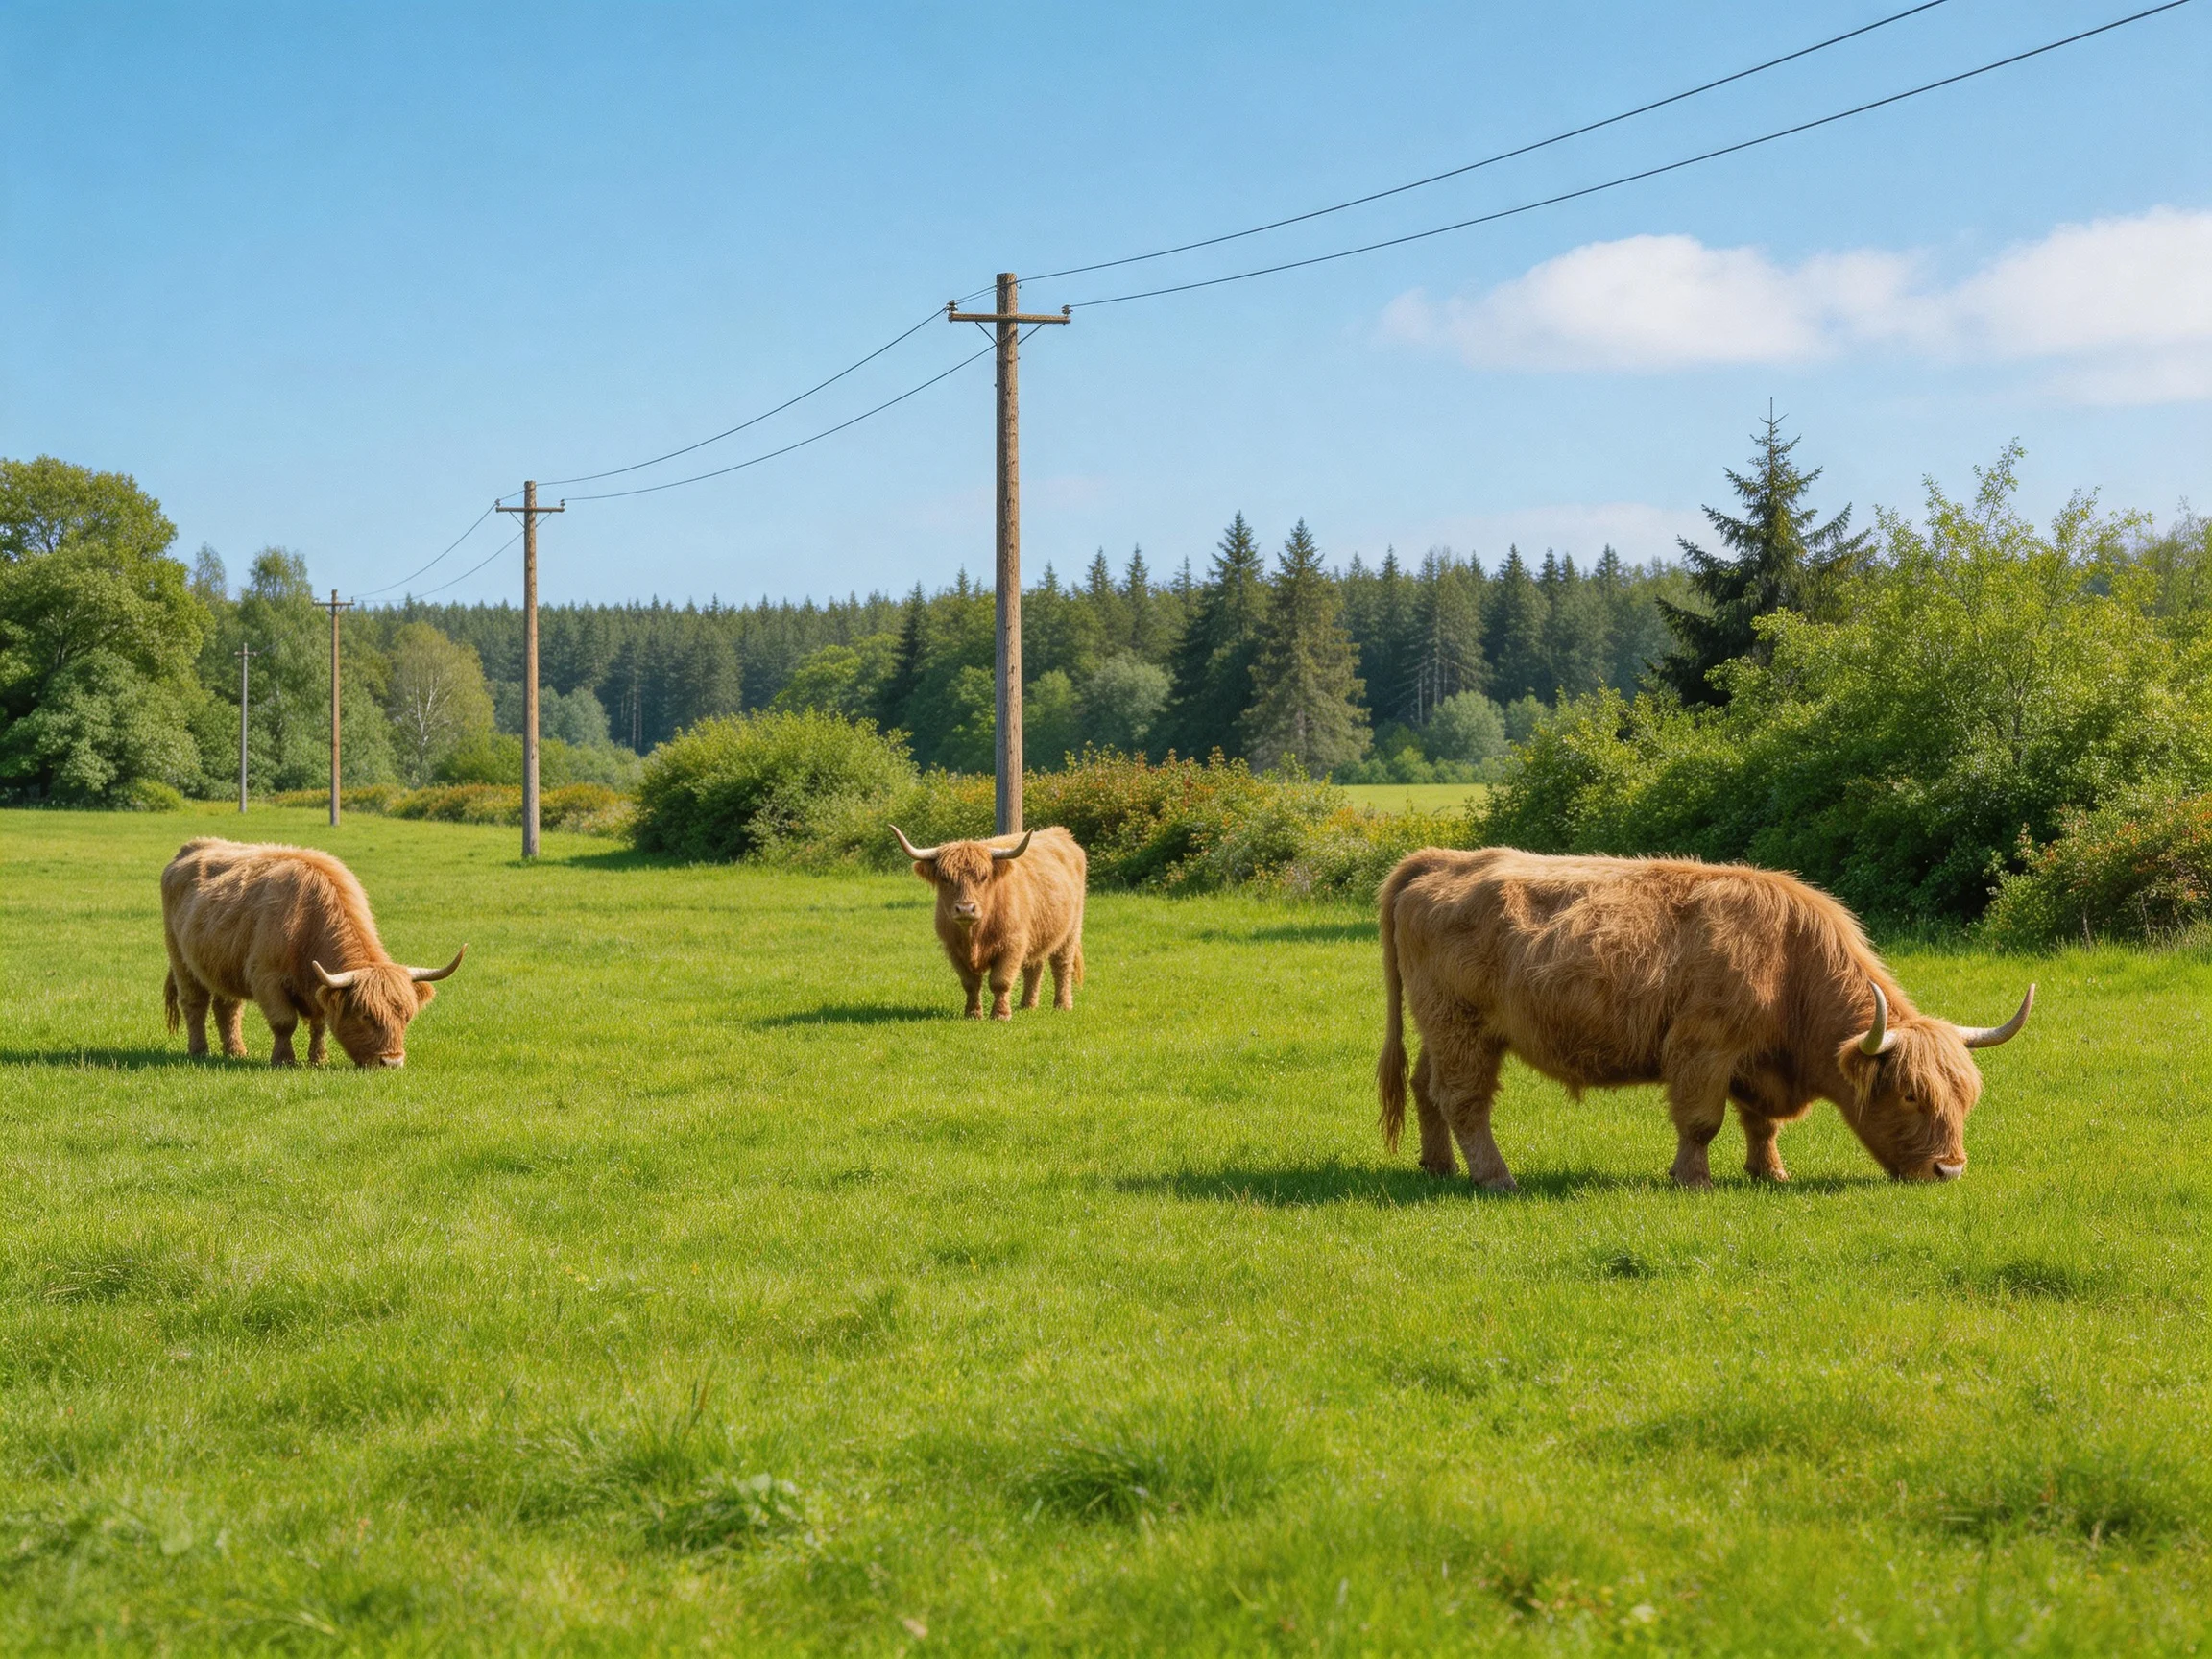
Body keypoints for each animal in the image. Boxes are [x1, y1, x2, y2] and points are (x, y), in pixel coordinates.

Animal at [161, 838, 464, 1068]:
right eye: (365, 1015)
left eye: (407, 1016)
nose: (391, 1062)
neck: (307, 921)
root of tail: (194, 845)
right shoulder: (266, 977)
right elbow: (284, 1022)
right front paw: (284, 1060)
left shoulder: (318, 984)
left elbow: (320, 1025)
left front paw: (318, 1059)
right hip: (180, 959)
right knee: (194, 1004)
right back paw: (199, 1051)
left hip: (223, 966)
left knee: (228, 1008)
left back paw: (235, 1052)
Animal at [891, 825, 1086, 1020]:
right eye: (945, 878)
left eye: (983, 877)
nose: (965, 909)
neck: (974, 935)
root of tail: (1060, 832)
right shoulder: (953, 948)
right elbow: (970, 983)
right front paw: (973, 1014)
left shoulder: (1012, 944)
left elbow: (1000, 981)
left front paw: (1001, 1014)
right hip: (1038, 935)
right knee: (1034, 967)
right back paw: (1027, 1005)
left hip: (1071, 931)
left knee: (1061, 966)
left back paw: (1062, 1005)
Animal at [1375, 847, 2033, 1190]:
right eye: (1910, 1095)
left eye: (1965, 1097)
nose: (1950, 1169)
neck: (1790, 963)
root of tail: (1444, 860)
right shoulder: (1704, 1048)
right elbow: (1701, 1122)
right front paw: (1693, 1180)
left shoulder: (1754, 1063)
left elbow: (1761, 1124)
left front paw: (1771, 1173)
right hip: (1462, 1027)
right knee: (1464, 1101)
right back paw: (1494, 1177)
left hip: (1440, 1028)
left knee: (1426, 1089)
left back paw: (1438, 1167)